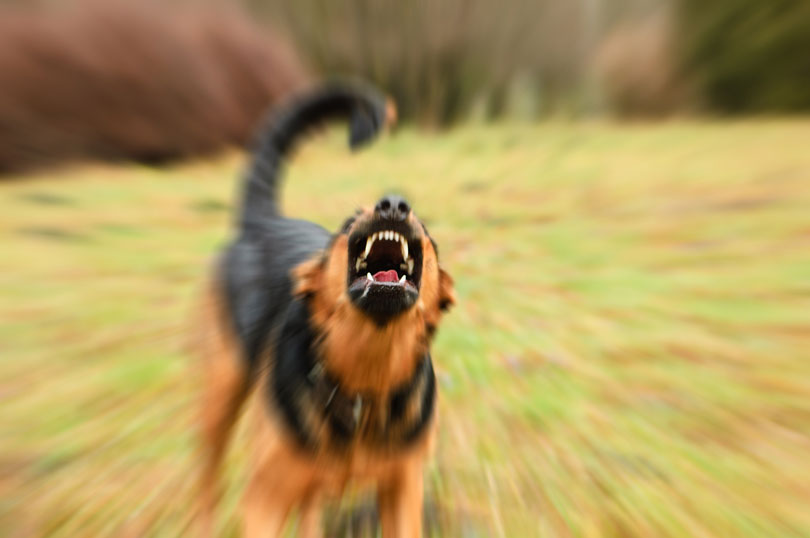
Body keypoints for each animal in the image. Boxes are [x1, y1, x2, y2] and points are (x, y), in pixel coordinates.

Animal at [193, 80, 452, 536]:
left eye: (425, 229)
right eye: (349, 221)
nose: (393, 204)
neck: (368, 377)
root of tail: (261, 221)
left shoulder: (403, 492)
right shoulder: (265, 500)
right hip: (220, 392)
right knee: (208, 480)